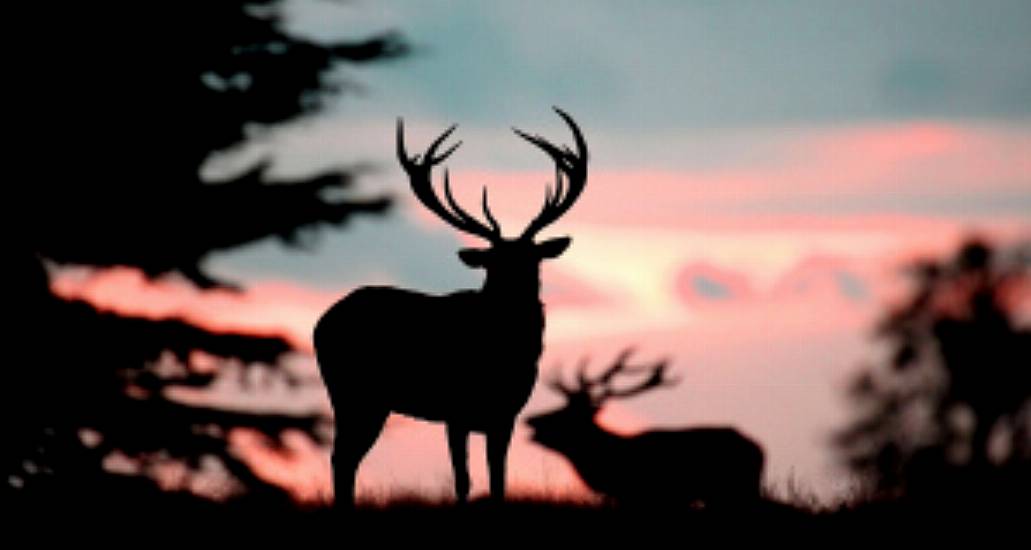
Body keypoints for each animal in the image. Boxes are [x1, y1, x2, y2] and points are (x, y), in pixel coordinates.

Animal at [311, 108, 589, 505]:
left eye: (532, 259)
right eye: (493, 263)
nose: (516, 291)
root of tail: (320, 323)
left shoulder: (506, 414)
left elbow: (499, 480)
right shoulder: (455, 410)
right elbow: (463, 480)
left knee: (344, 459)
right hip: (353, 391)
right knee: (342, 458)